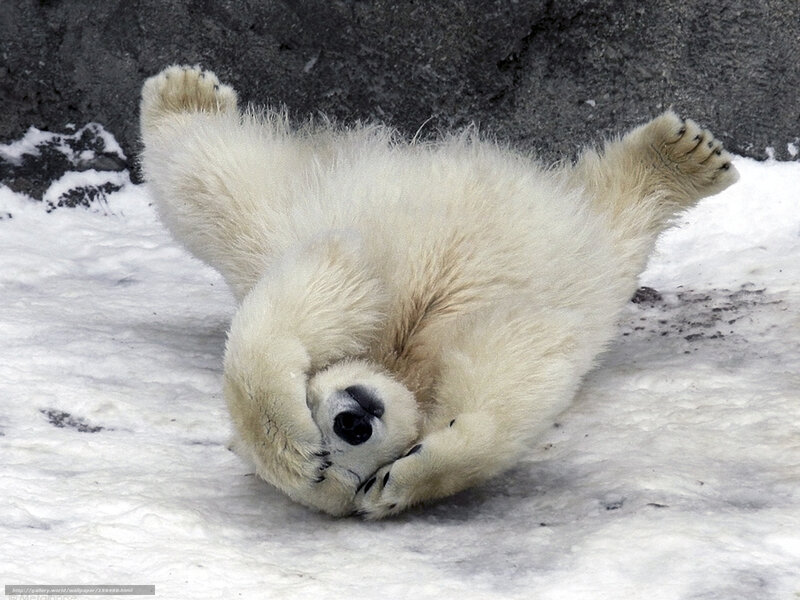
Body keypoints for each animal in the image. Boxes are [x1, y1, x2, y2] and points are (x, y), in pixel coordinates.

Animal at [139, 65, 738, 519]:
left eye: (313, 409)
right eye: (346, 474)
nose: (353, 420)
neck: (399, 359)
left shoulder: (353, 276)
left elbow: (321, 294)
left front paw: (290, 436)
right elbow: (511, 362)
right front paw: (413, 477)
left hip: (292, 213)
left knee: (217, 184)